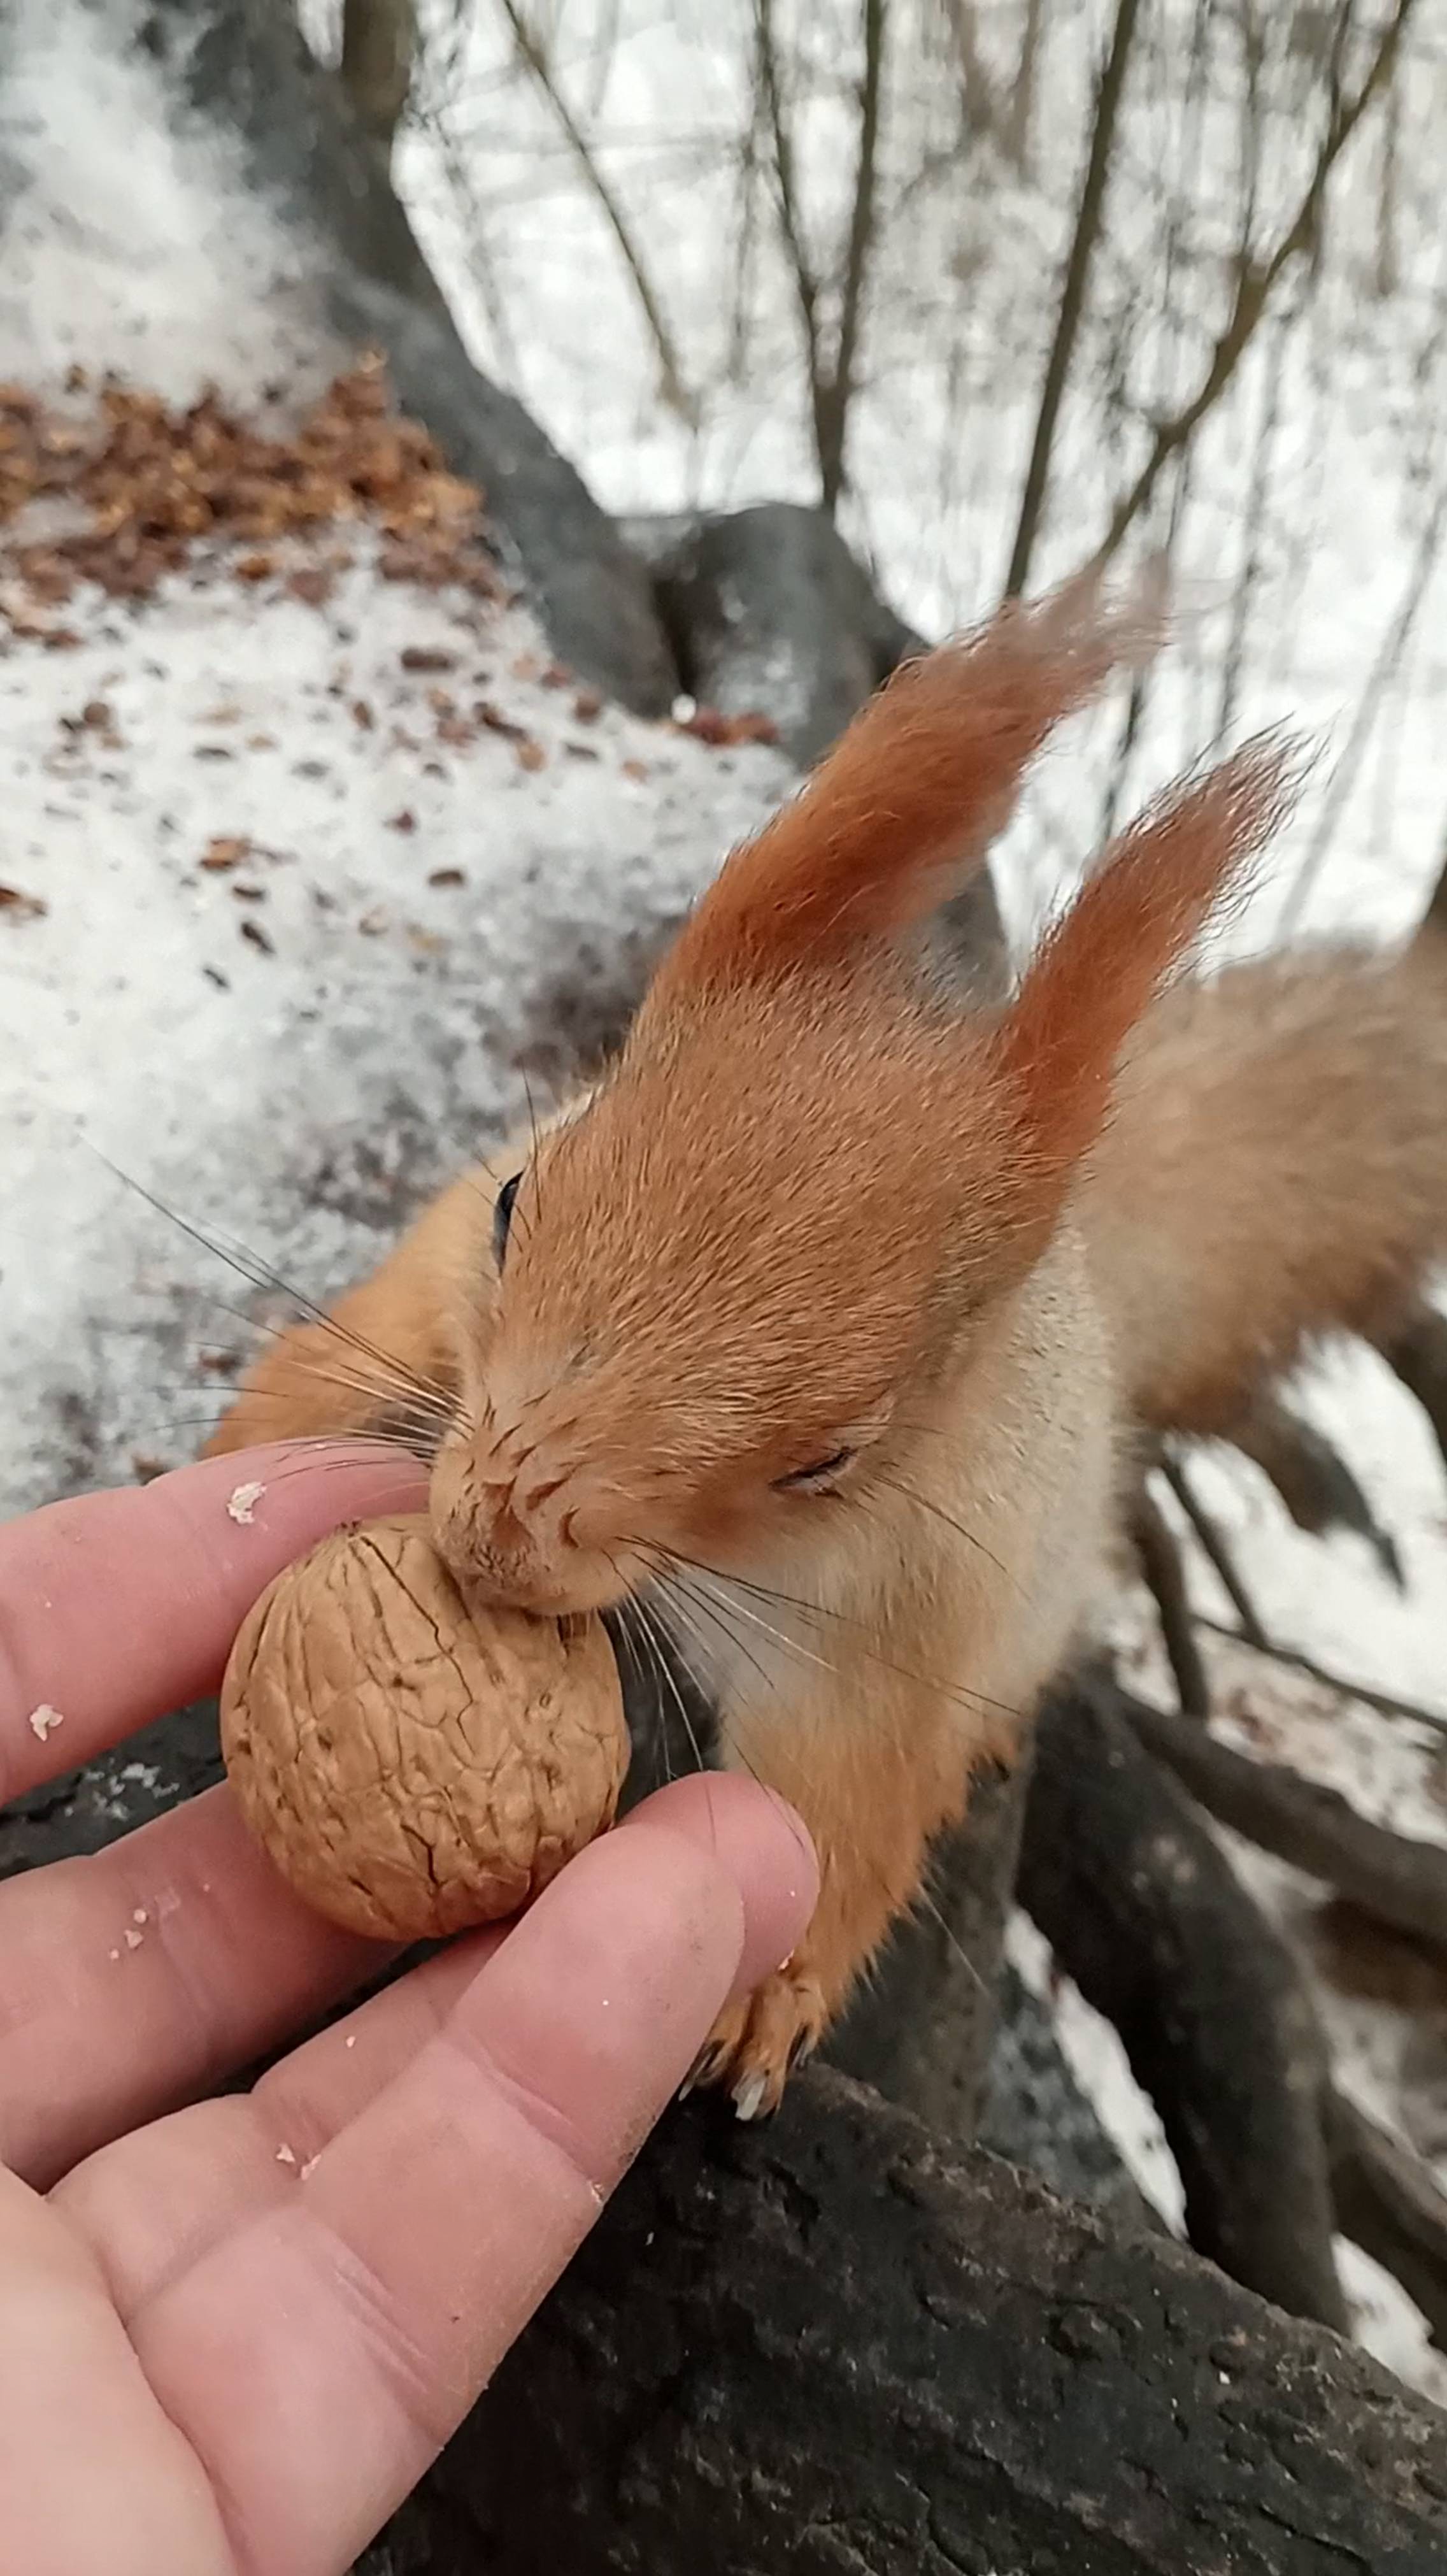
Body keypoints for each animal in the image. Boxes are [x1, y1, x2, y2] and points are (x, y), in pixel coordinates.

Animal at [206, 574, 1441, 2122]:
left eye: (829, 1458)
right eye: (514, 1202)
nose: (493, 1529)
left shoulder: (900, 1619)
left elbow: (839, 1799)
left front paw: (760, 1992)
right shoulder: (443, 1264)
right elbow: (364, 1347)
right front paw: (251, 1451)